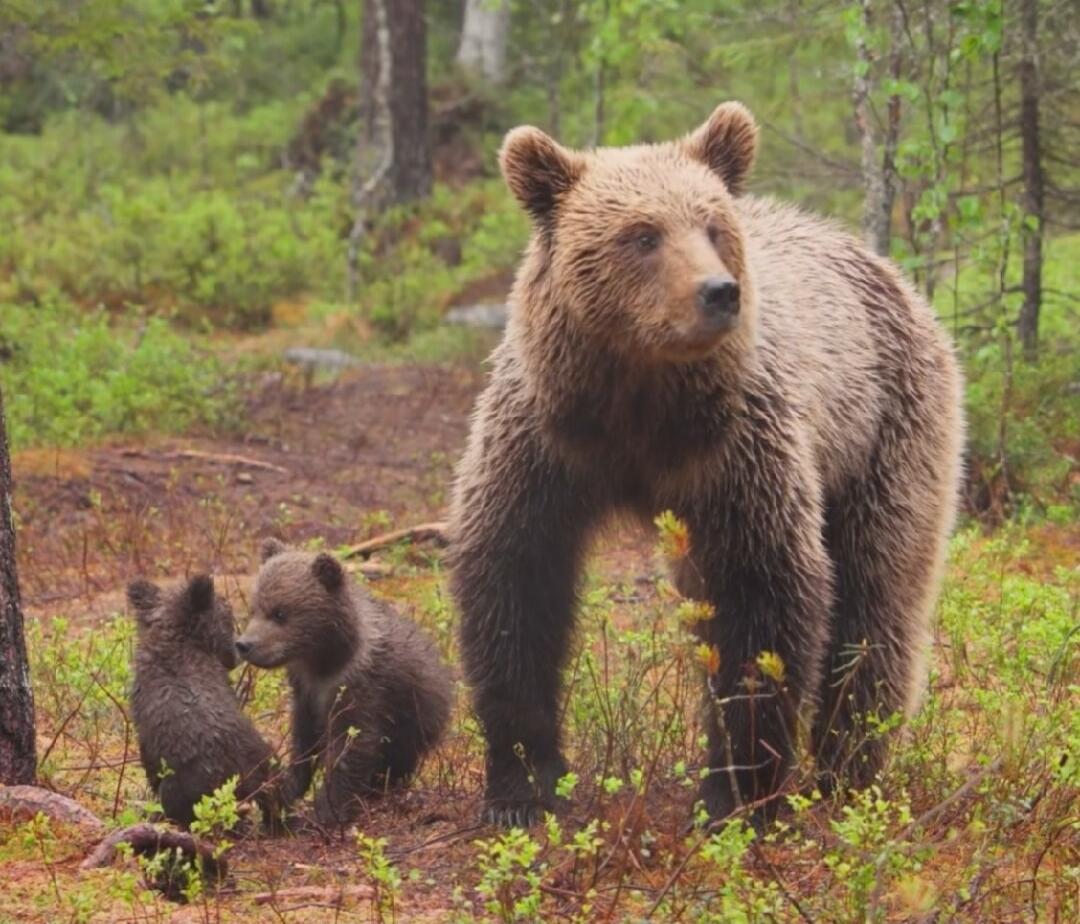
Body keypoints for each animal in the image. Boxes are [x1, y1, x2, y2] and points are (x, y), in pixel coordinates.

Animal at [235, 540, 453, 826]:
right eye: (254, 609)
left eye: (280, 613)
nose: (244, 644)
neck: (324, 660)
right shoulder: (305, 691)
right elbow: (304, 740)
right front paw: (288, 787)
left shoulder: (362, 689)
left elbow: (353, 746)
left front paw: (326, 810)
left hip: (418, 718)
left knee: (400, 759)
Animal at [447, 101, 964, 827]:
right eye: (642, 234)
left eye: (714, 226)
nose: (720, 292)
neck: (639, 397)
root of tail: (886, 269)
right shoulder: (544, 439)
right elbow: (515, 579)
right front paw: (524, 785)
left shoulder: (736, 448)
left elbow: (760, 593)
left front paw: (736, 793)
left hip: (888, 428)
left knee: (877, 595)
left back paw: (849, 767)